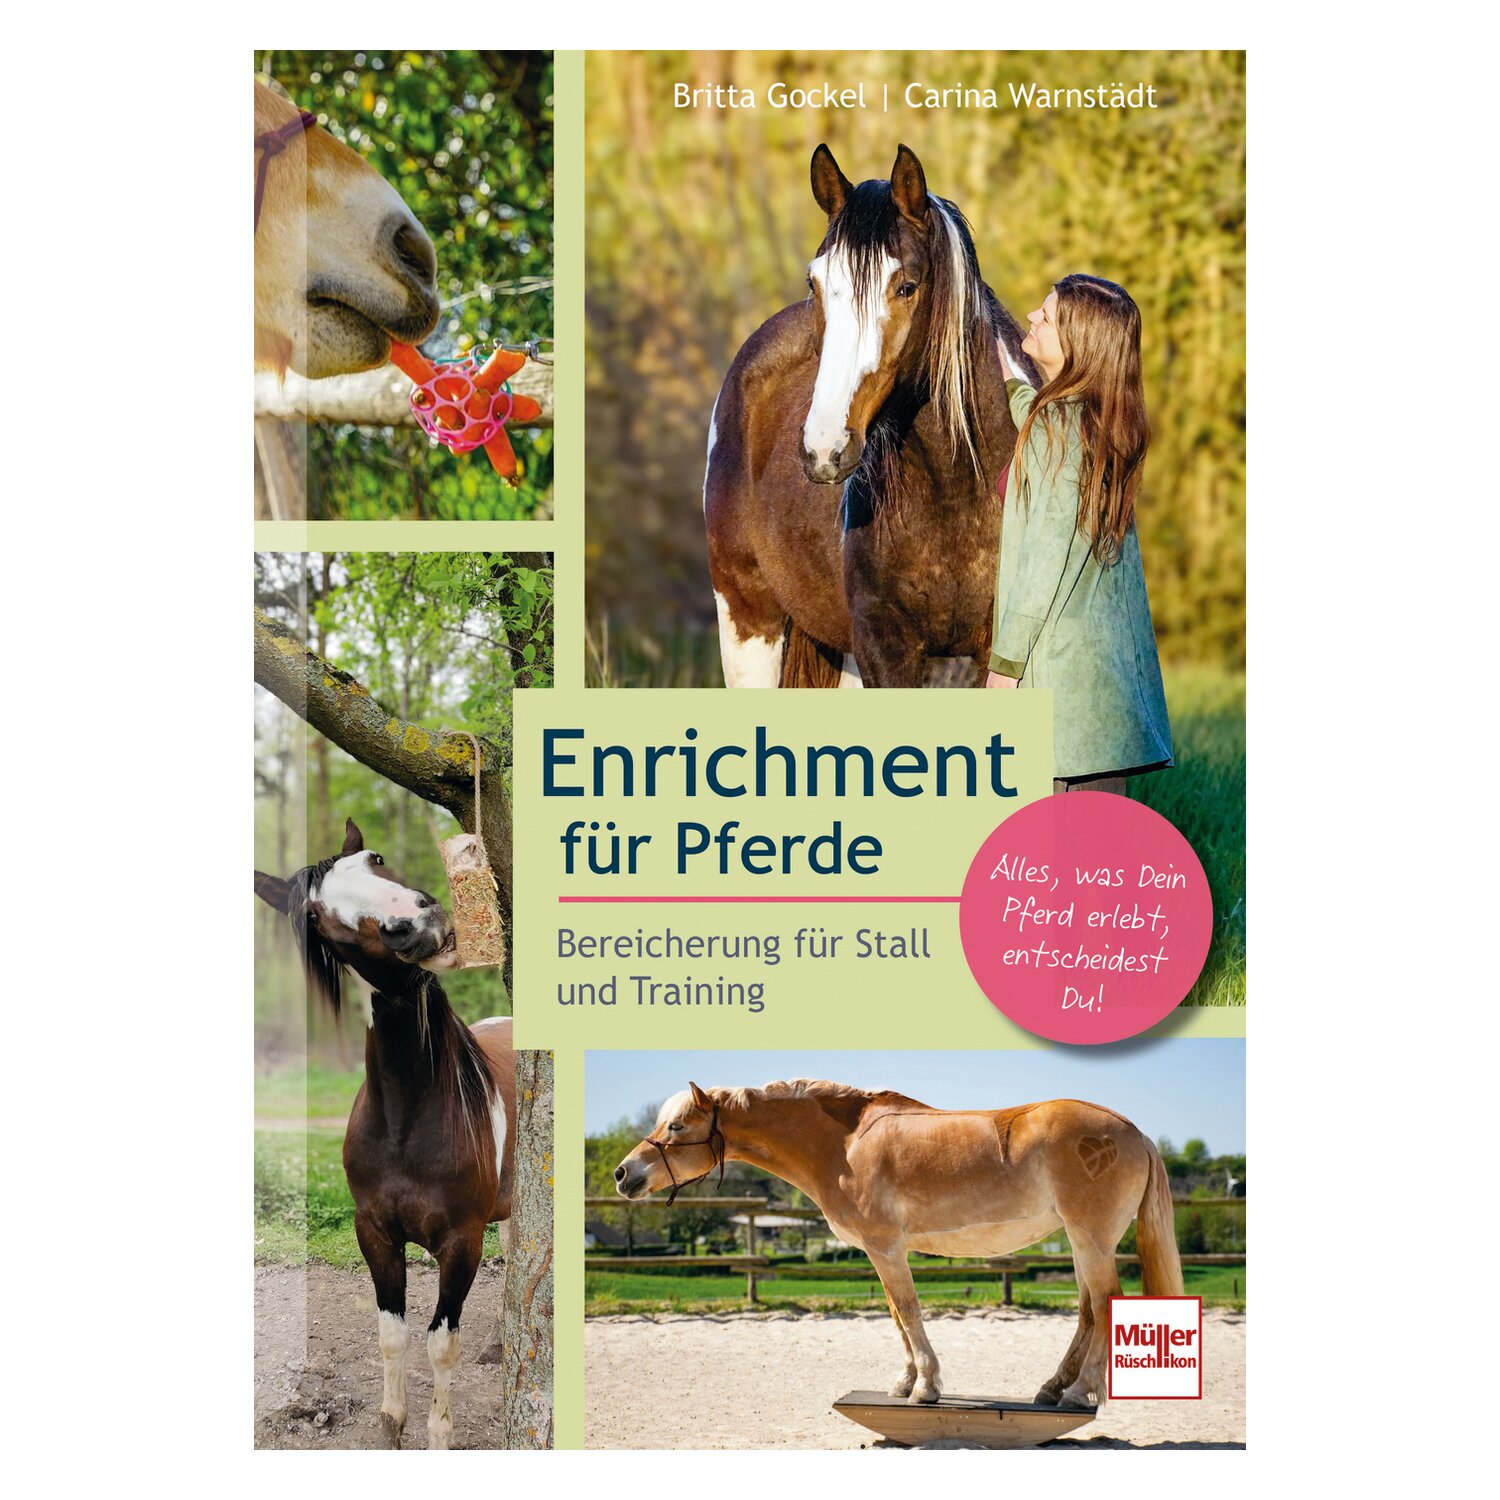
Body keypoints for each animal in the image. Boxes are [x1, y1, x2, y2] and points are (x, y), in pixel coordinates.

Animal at [255, 818, 515, 1449]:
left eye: (375, 859)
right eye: (315, 914)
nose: (413, 923)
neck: (405, 1120)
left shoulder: (461, 1244)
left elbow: (441, 1343)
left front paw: (439, 1434)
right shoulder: (374, 1233)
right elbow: (392, 1334)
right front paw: (392, 1424)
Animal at [614, 1079, 1182, 1411]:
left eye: (676, 1125)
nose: (623, 1174)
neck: (845, 1146)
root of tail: (1134, 1132)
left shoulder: (886, 1248)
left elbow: (908, 1311)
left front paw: (927, 1386)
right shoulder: (880, 1252)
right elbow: (894, 1314)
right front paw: (905, 1383)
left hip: (1091, 1241)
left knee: (1105, 1306)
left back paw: (1081, 1393)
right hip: (1082, 1242)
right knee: (1087, 1312)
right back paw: (1051, 1389)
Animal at [703, 144, 1041, 689]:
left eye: (906, 287)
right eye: (815, 282)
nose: (824, 449)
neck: (956, 490)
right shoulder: (885, 646)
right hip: (747, 620)